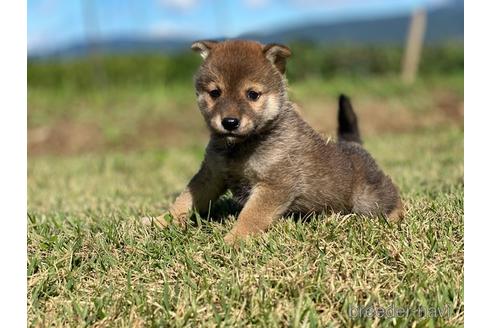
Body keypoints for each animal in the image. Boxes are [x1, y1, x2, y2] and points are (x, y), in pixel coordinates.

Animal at [142, 39, 404, 243]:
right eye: (215, 93)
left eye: (252, 94)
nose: (229, 122)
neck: (242, 147)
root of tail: (354, 145)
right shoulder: (210, 175)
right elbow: (184, 201)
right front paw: (161, 221)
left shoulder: (274, 185)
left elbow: (251, 216)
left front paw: (234, 239)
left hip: (369, 200)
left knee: (392, 201)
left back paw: (396, 218)